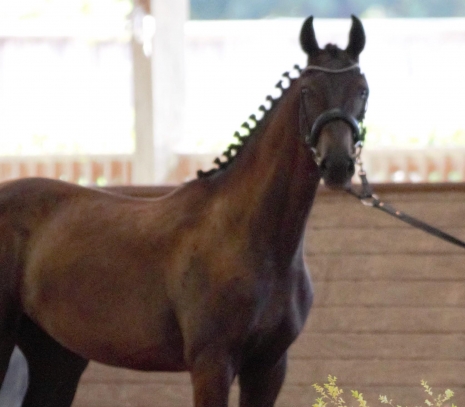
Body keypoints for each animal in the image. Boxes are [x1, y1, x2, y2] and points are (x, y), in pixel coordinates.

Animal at [0, 15, 368, 407]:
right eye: (307, 91)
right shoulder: (212, 365)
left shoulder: (268, 367)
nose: (337, 165)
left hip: (57, 356)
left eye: (362, 90)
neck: (251, 236)